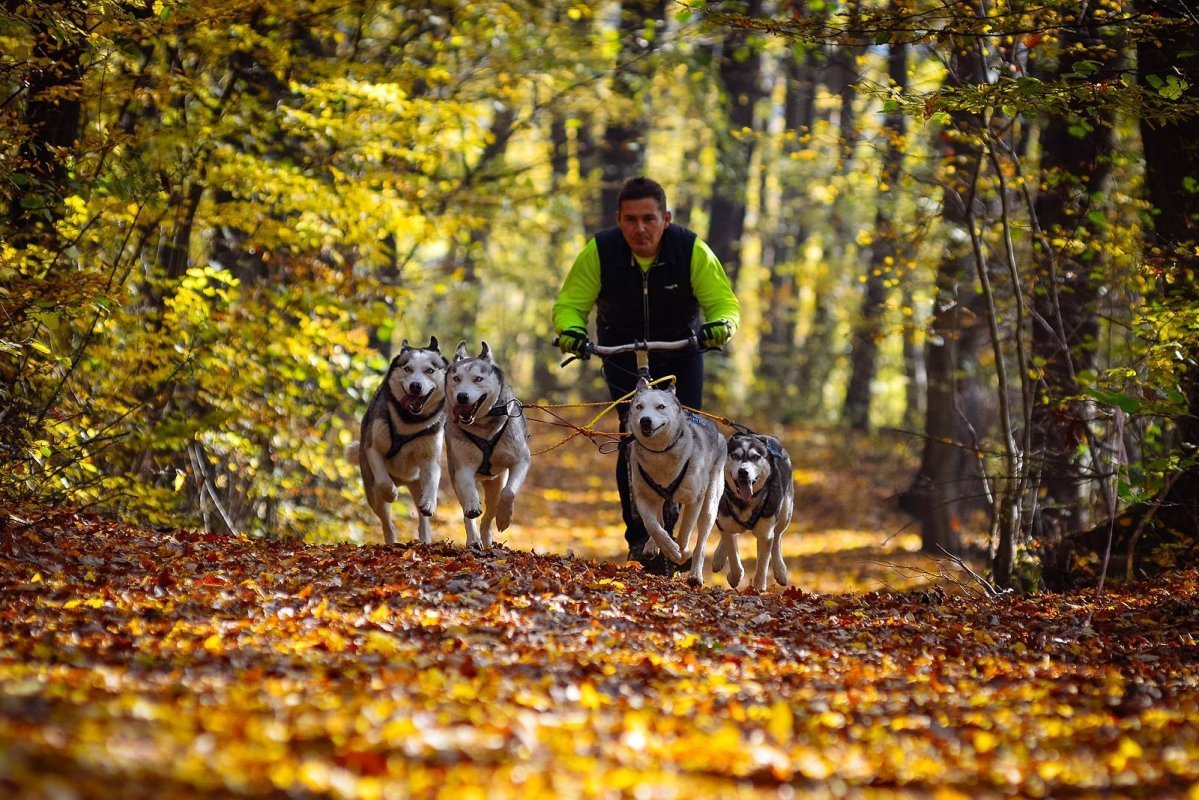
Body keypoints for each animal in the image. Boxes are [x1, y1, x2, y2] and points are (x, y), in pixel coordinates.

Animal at [350, 335, 453, 546]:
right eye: (407, 369)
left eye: (430, 370)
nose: (415, 386)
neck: (409, 422)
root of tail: (402, 480)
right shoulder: (373, 448)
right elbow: (382, 480)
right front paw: (391, 493)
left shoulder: (430, 458)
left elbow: (433, 481)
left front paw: (429, 502)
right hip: (371, 490)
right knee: (386, 521)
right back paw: (391, 540)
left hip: (417, 482)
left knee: (422, 517)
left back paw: (425, 537)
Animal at [446, 338, 529, 551]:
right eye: (456, 378)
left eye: (478, 379)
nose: (462, 396)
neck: (483, 426)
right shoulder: (462, 465)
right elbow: (468, 488)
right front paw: (473, 505)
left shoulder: (520, 460)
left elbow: (509, 492)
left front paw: (504, 518)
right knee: (468, 513)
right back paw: (474, 539)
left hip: (495, 485)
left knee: (490, 512)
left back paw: (488, 537)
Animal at [628, 379, 719, 585]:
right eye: (639, 406)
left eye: (661, 407)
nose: (645, 420)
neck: (660, 453)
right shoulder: (643, 495)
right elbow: (652, 525)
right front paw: (667, 547)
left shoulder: (694, 499)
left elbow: (685, 530)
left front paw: (681, 552)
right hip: (659, 497)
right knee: (660, 519)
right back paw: (653, 545)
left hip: (710, 504)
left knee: (701, 541)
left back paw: (695, 574)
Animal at [714, 434, 791, 592]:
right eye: (735, 456)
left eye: (755, 457)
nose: (743, 472)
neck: (745, 502)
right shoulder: (725, 521)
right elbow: (733, 554)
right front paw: (734, 577)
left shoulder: (765, 533)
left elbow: (763, 563)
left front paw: (759, 588)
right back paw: (718, 557)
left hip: (785, 512)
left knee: (777, 537)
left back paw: (780, 570)